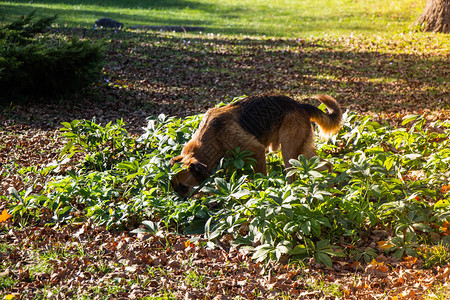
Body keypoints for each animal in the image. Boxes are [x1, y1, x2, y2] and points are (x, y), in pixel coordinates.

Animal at [171, 94, 342, 197]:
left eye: (183, 187)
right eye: (174, 187)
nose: (180, 201)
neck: (211, 137)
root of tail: (300, 105)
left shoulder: (257, 152)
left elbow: (260, 178)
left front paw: (260, 193)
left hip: (289, 154)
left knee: (292, 177)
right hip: (301, 154)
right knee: (327, 165)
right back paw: (330, 190)